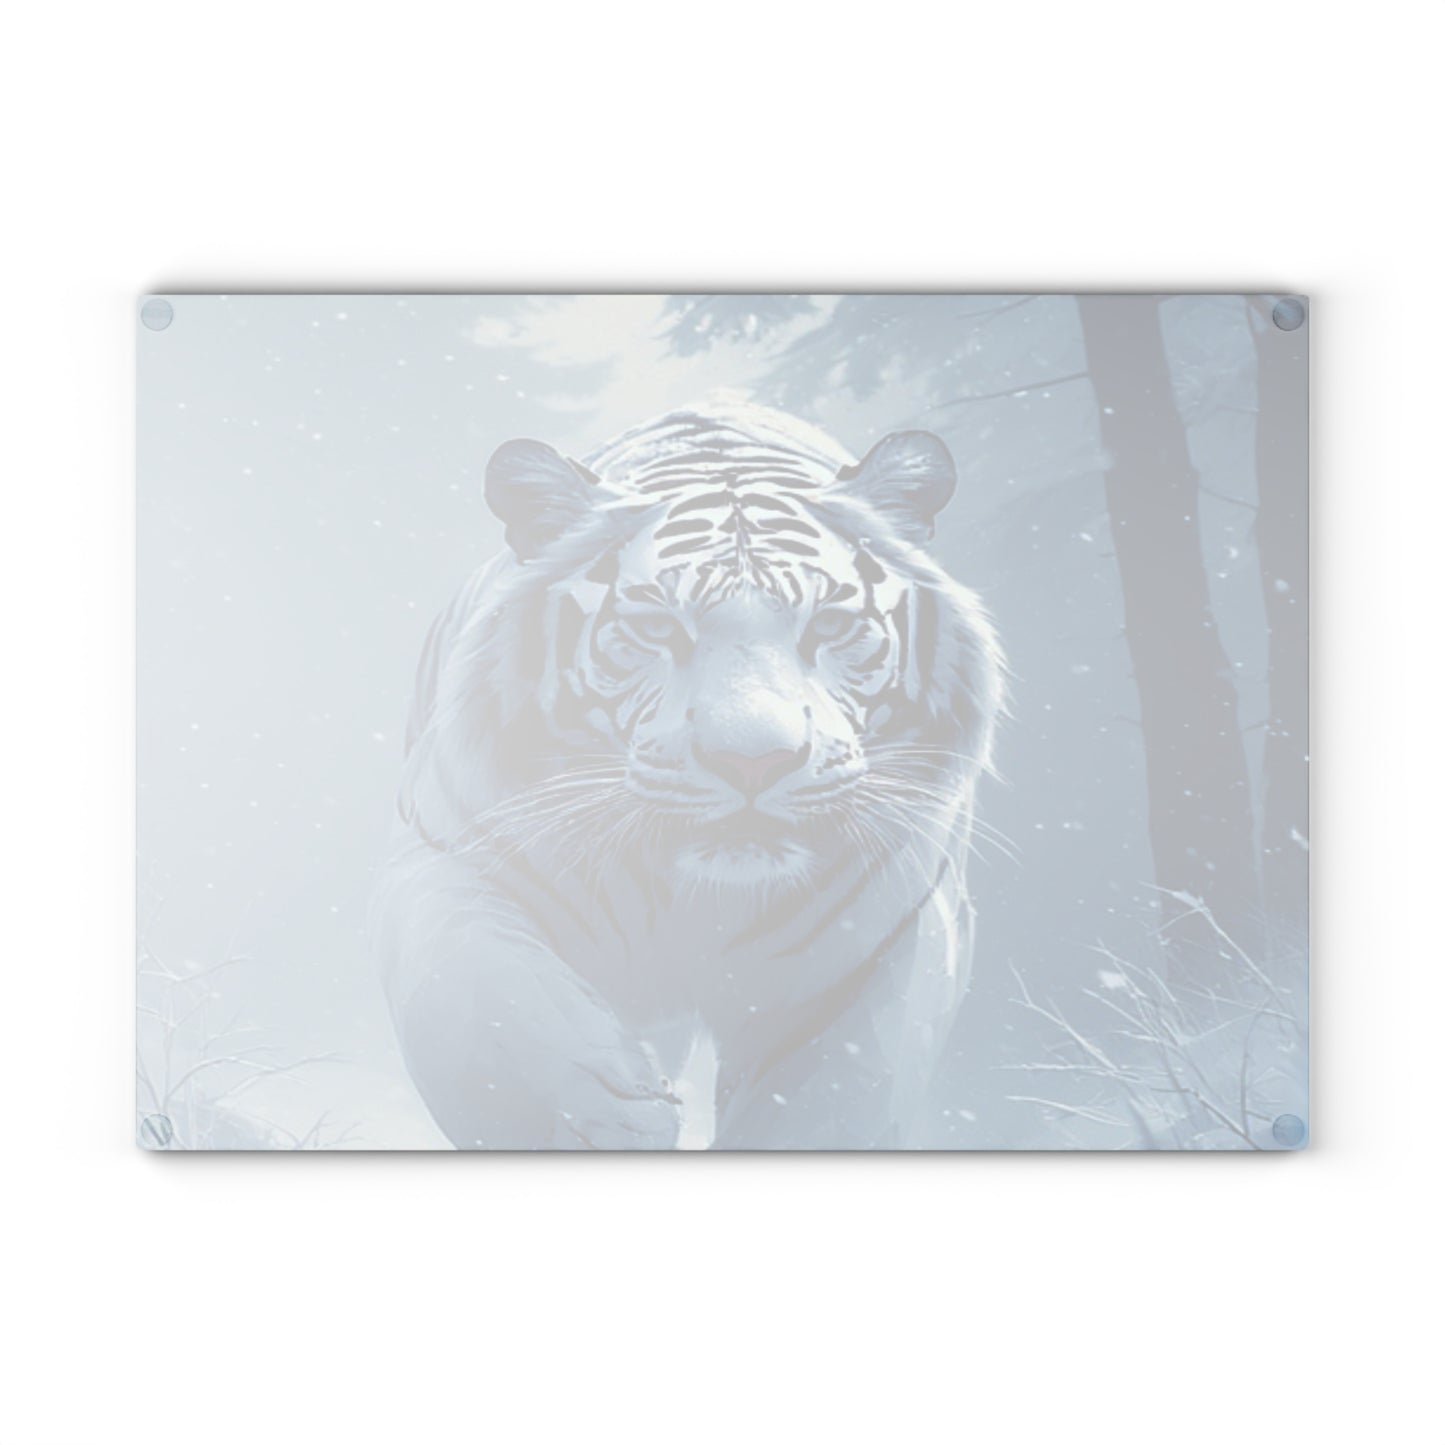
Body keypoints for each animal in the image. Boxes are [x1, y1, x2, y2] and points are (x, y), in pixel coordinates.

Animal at [371, 397, 1005, 1149]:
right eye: (654, 627)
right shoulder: (443, 853)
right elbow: (490, 999)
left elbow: (832, 1095)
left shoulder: (893, 934)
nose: (754, 759)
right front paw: (609, 1118)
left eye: (829, 625)